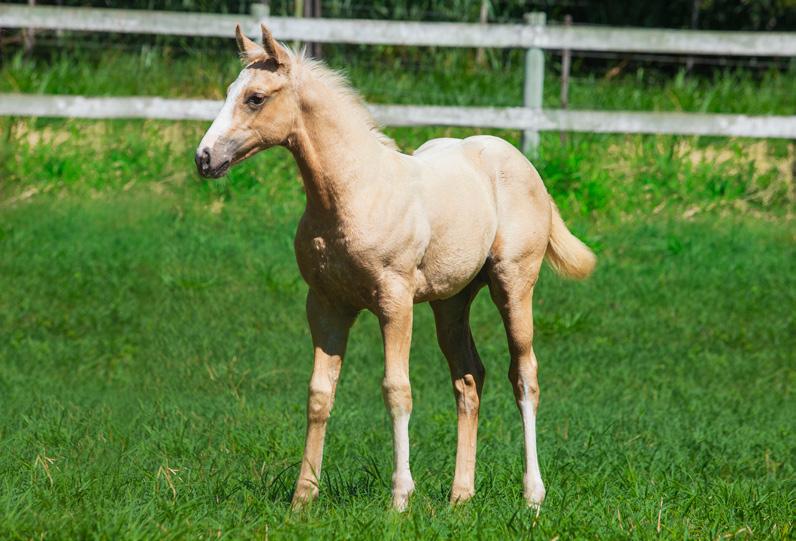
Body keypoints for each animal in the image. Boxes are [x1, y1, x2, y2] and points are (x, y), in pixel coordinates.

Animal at [197, 25, 596, 508]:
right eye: (230, 92)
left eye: (255, 98)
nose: (204, 158)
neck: (354, 192)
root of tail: (522, 163)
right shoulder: (326, 305)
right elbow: (319, 393)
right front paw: (302, 498)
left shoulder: (395, 301)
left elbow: (396, 390)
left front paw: (400, 499)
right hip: (450, 302)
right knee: (469, 378)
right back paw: (460, 497)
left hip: (513, 283)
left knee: (524, 375)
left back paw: (532, 495)